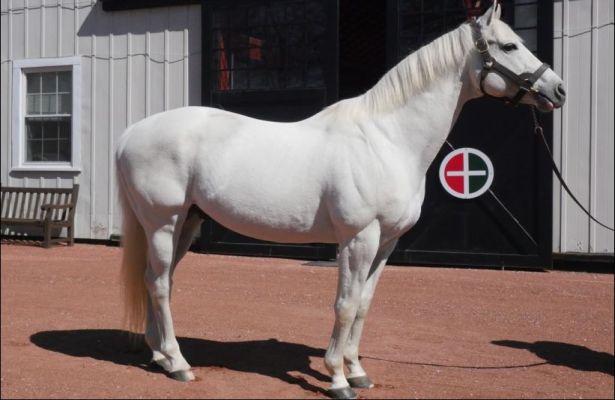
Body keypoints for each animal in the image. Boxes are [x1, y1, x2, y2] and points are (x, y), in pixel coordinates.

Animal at [116, 3, 568, 400]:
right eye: (508, 46)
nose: (558, 89)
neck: (387, 139)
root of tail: (131, 133)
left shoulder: (387, 242)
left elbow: (364, 305)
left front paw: (358, 371)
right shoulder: (358, 238)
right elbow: (346, 305)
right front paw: (337, 379)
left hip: (187, 222)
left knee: (157, 280)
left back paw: (160, 356)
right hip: (162, 222)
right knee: (159, 284)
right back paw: (178, 363)